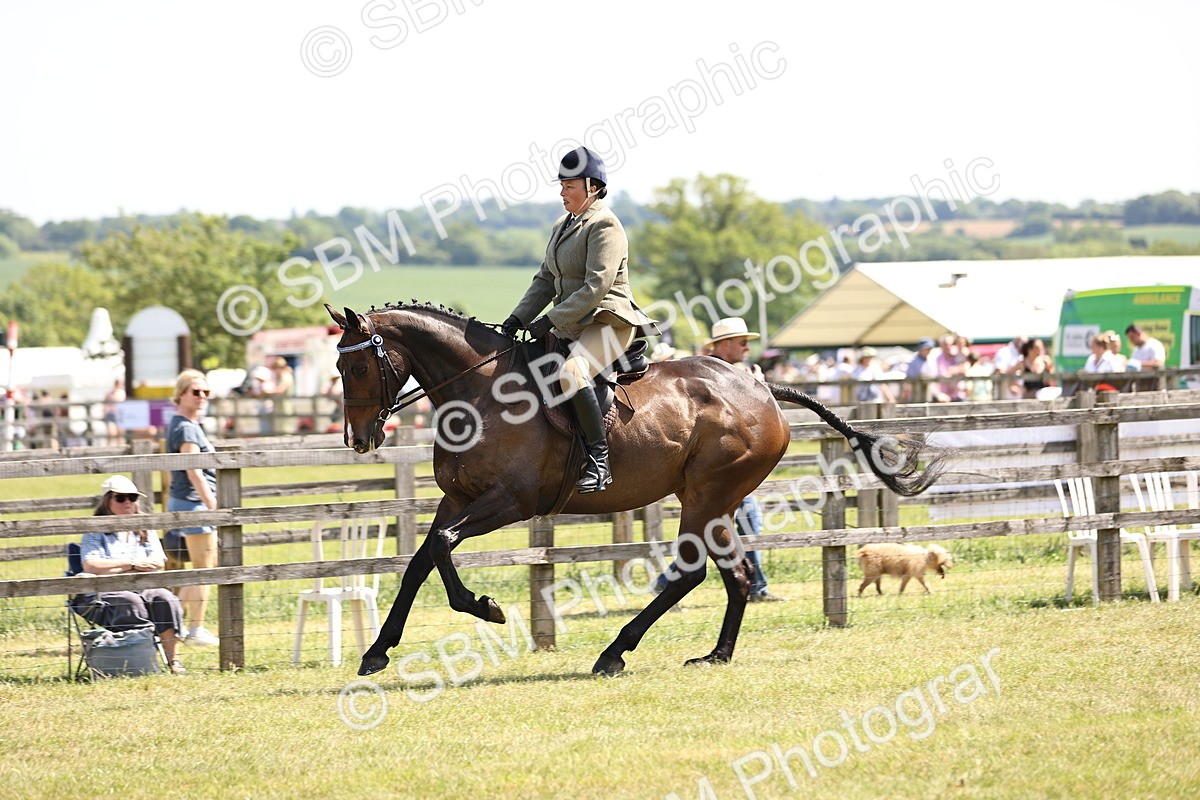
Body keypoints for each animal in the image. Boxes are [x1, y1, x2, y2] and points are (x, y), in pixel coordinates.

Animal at [326, 302, 948, 677]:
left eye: (357, 369)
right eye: (338, 368)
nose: (358, 439)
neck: (481, 391)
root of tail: (762, 388)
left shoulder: (508, 502)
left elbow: (440, 547)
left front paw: (485, 607)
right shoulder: (458, 499)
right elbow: (421, 559)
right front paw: (378, 651)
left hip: (706, 497)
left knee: (694, 574)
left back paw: (614, 653)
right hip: (714, 503)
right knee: (735, 575)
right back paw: (715, 655)